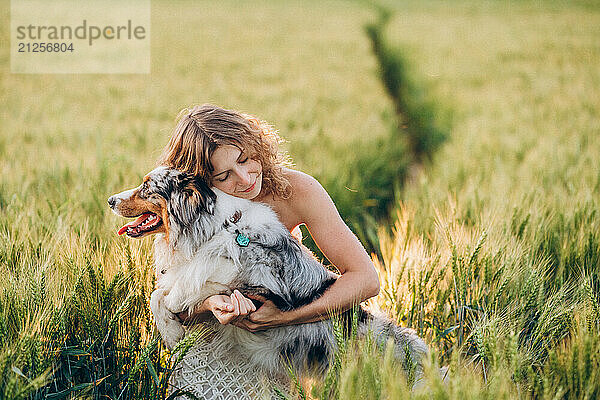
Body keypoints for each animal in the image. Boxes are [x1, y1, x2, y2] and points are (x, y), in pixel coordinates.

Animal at [106, 166, 426, 378]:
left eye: (146, 187)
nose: (109, 200)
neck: (218, 228)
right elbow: (157, 294)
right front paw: (172, 329)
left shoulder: (254, 284)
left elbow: (175, 293)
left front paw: (172, 329)